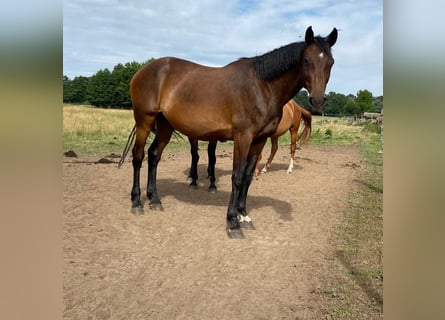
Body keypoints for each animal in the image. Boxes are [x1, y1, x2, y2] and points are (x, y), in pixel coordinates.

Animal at [122, 26, 336, 239]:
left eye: (330, 63)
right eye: (306, 60)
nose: (318, 100)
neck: (262, 86)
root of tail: (143, 70)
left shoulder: (259, 140)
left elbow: (248, 176)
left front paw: (244, 215)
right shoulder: (243, 137)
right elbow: (238, 176)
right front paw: (233, 222)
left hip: (165, 125)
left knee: (154, 156)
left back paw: (155, 200)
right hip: (144, 121)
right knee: (138, 157)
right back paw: (137, 202)